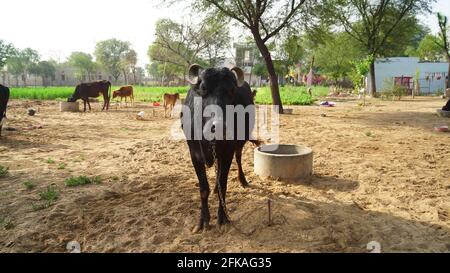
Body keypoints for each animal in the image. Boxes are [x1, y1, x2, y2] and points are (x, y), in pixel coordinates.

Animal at [179, 64, 256, 232]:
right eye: (203, 88)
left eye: (232, 91)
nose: (218, 126)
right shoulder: (194, 155)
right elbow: (203, 189)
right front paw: (203, 220)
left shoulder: (227, 153)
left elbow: (224, 184)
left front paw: (223, 217)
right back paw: (215, 188)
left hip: (240, 143)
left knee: (238, 158)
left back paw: (243, 180)